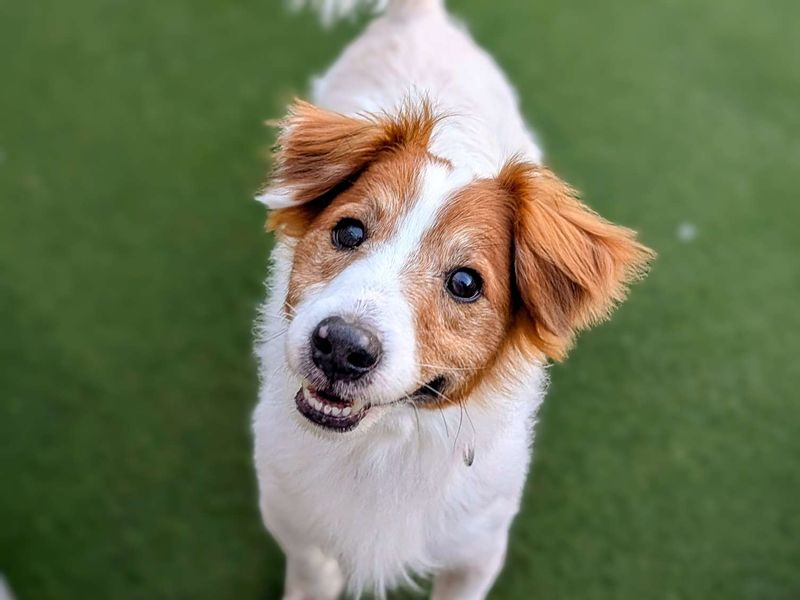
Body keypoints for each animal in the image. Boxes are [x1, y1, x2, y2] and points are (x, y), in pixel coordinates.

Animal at [253, 1, 652, 600]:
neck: (384, 444)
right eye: (348, 231)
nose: (341, 346)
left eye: (466, 283)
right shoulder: (294, 522)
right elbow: (313, 571)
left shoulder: (477, 551)